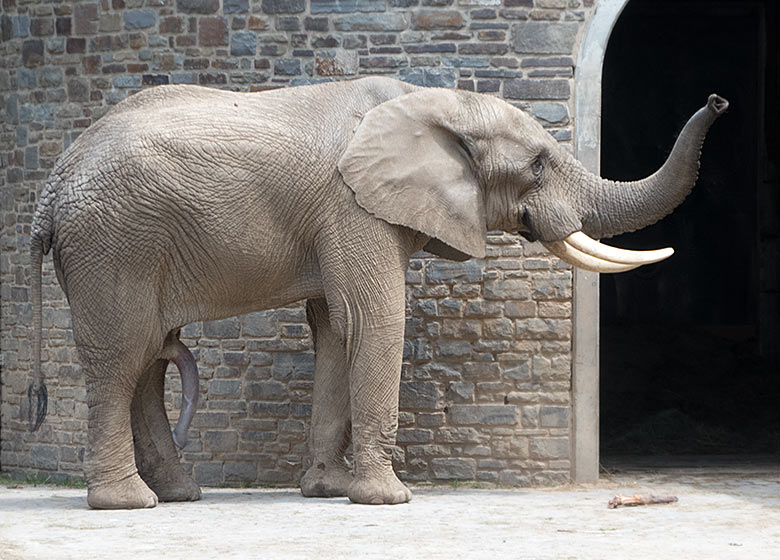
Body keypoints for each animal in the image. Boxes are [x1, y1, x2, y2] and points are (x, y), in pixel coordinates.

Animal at [27, 76, 728, 510]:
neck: (434, 102)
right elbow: (375, 319)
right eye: (535, 165)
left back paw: (178, 494)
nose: (719, 99)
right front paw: (387, 498)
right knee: (122, 356)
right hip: (114, 239)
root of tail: (55, 181)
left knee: (146, 357)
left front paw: (329, 490)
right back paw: (129, 503)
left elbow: (337, 330)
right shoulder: (352, 207)